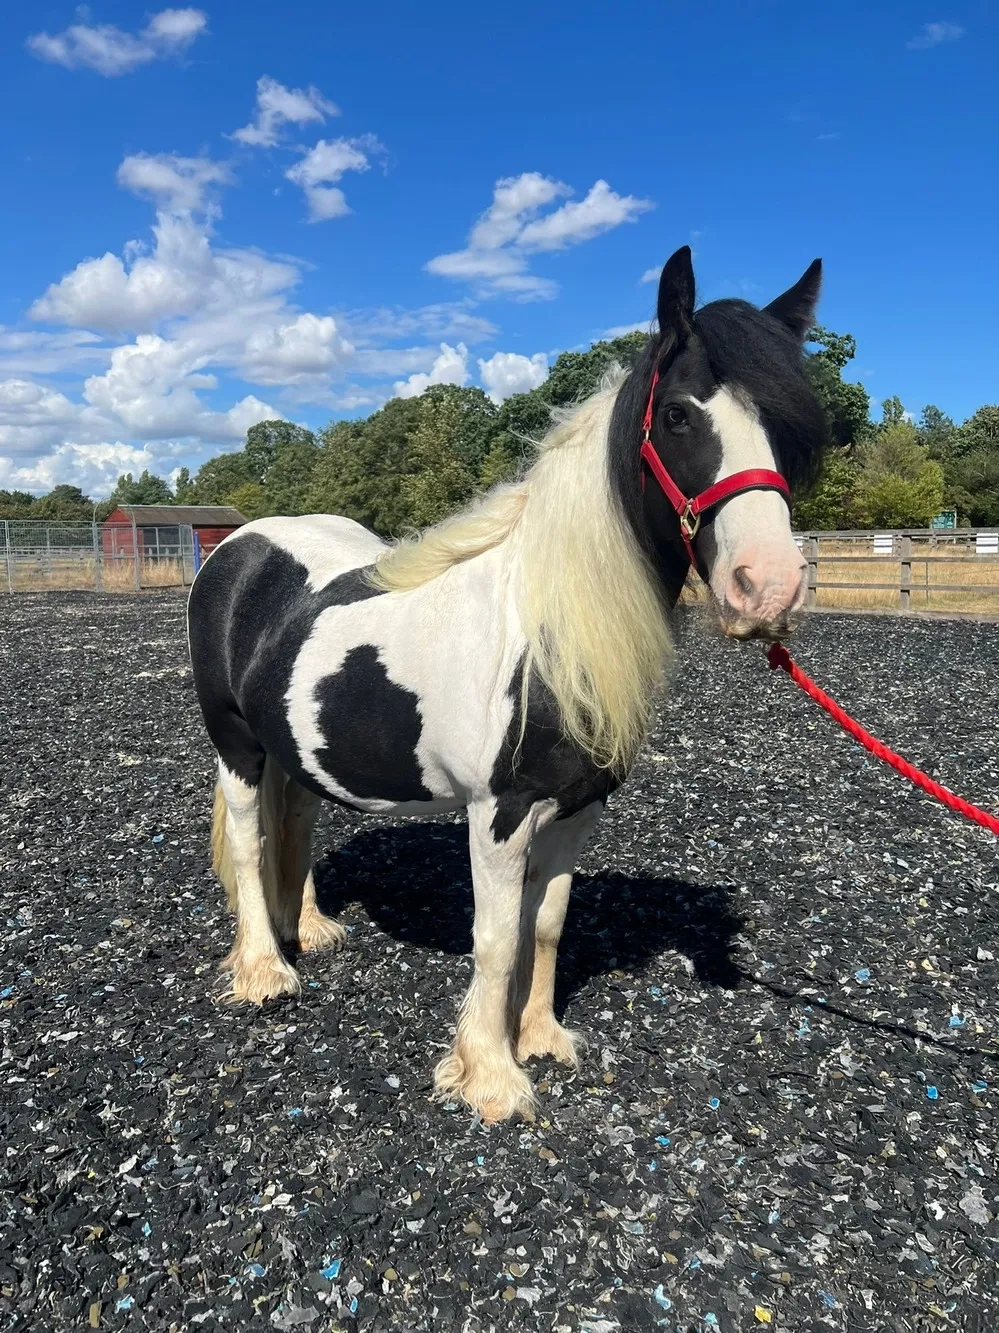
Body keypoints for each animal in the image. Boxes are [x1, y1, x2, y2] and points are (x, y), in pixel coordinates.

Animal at [187, 245, 828, 1122]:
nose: (768, 588)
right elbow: (493, 938)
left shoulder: (577, 810)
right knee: (251, 843)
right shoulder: (500, 812)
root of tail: (240, 546)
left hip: (297, 749)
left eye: (789, 428)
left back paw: (308, 930)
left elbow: (546, 922)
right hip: (237, 745)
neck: (548, 628)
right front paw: (489, 1075)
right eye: (677, 417)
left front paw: (541, 1037)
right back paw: (263, 971)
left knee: (296, 826)